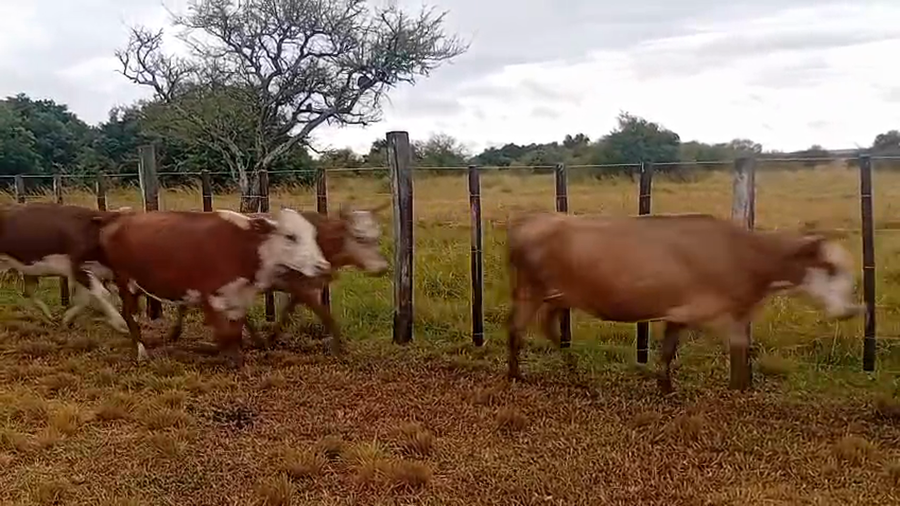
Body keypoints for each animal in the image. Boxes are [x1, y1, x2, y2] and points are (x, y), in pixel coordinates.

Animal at [0, 202, 132, 333]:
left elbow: (86, 298)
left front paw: (66, 320)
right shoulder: (78, 267)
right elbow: (101, 294)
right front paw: (122, 324)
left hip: (29, 271)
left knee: (28, 292)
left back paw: (51, 318)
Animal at [96, 207, 332, 366]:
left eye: (313, 236)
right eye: (291, 236)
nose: (323, 266)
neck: (239, 246)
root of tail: (117, 220)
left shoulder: (239, 297)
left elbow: (235, 331)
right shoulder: (209, 296)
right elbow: (224, 333)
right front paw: (228, 358)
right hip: (125, 282)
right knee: (130, 316)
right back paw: (142, 351)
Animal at [163, 203, 390, 355]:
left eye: (377, 237)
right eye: (360, 237)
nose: (382, 268)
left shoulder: (301, 288)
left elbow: (288, 312)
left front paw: (271, 337)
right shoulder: (298, 287)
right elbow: (324, 315)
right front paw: (338, 346)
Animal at [504, 212, 863, 392]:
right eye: (831, 268)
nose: (849, 311)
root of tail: (530, 223)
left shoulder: (682, 312)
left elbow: (670, 351)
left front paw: (665, 385)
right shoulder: (700, 309)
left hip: (557, 295)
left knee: (546, 327)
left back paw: (573, 369)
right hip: (531, 289)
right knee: (516, 328)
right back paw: (516, 375)